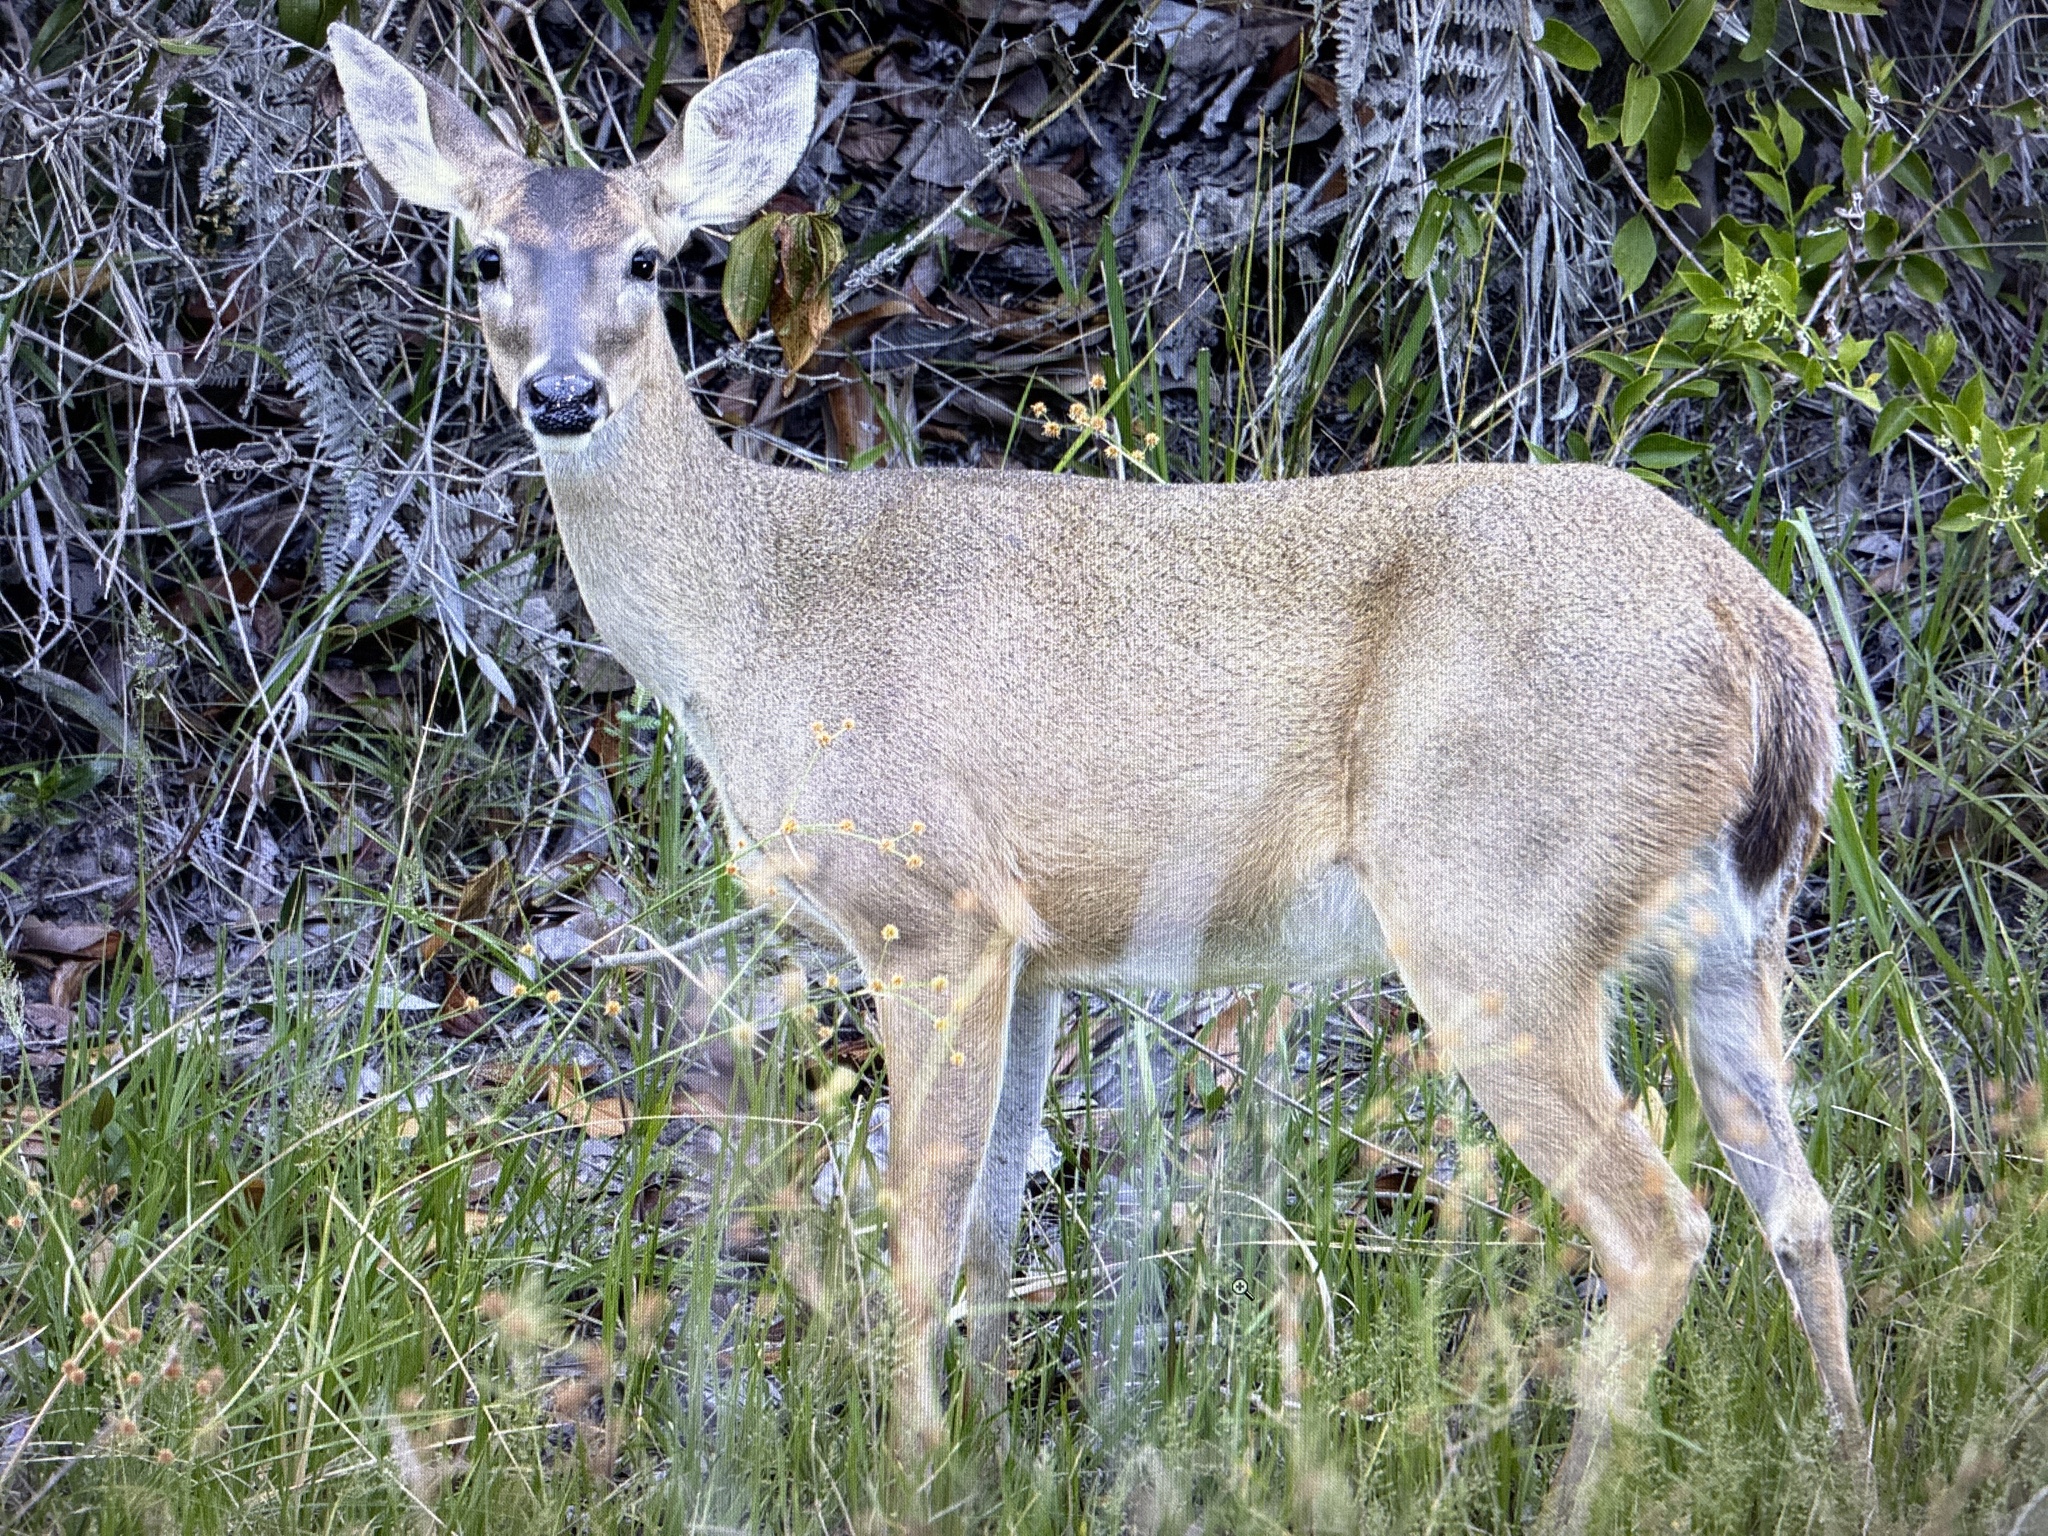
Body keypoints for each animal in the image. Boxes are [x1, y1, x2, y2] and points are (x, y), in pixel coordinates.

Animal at [328, 23, 1867, 1527]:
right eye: (485, 254)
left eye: (648, 258)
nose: (563, 393)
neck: (753, 620)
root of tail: (1762, 632)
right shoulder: (1035, 948)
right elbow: (995, 1225)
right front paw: (991, 1456)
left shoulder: (923, 902)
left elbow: (918, 1226)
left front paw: (910, 1471)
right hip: (1730, 930)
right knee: (1797, 1205)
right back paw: (1842, 1462)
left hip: (1499, 907)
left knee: (1659, 1223)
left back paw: (1576, 1494)